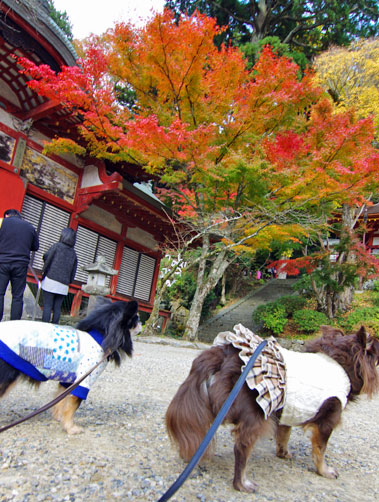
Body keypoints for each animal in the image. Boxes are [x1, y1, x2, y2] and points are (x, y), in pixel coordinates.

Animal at [0, 300, 142, 434]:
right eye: (136, 319)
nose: (141, 323)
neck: (101, 338)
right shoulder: (83, 380)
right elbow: (72, 406)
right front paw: (70, 427)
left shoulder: (68, 381)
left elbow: (60, 400)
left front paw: (59, 417)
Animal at [166, 324, 379, 492]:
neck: (341, 363)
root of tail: (224, 354)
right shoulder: (327, 421)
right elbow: (320, 451)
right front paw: (324, 471)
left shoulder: (286, 410)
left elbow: (284, 435)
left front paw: (283, 454)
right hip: (256, 416)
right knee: (241, 449)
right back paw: (241, 484)